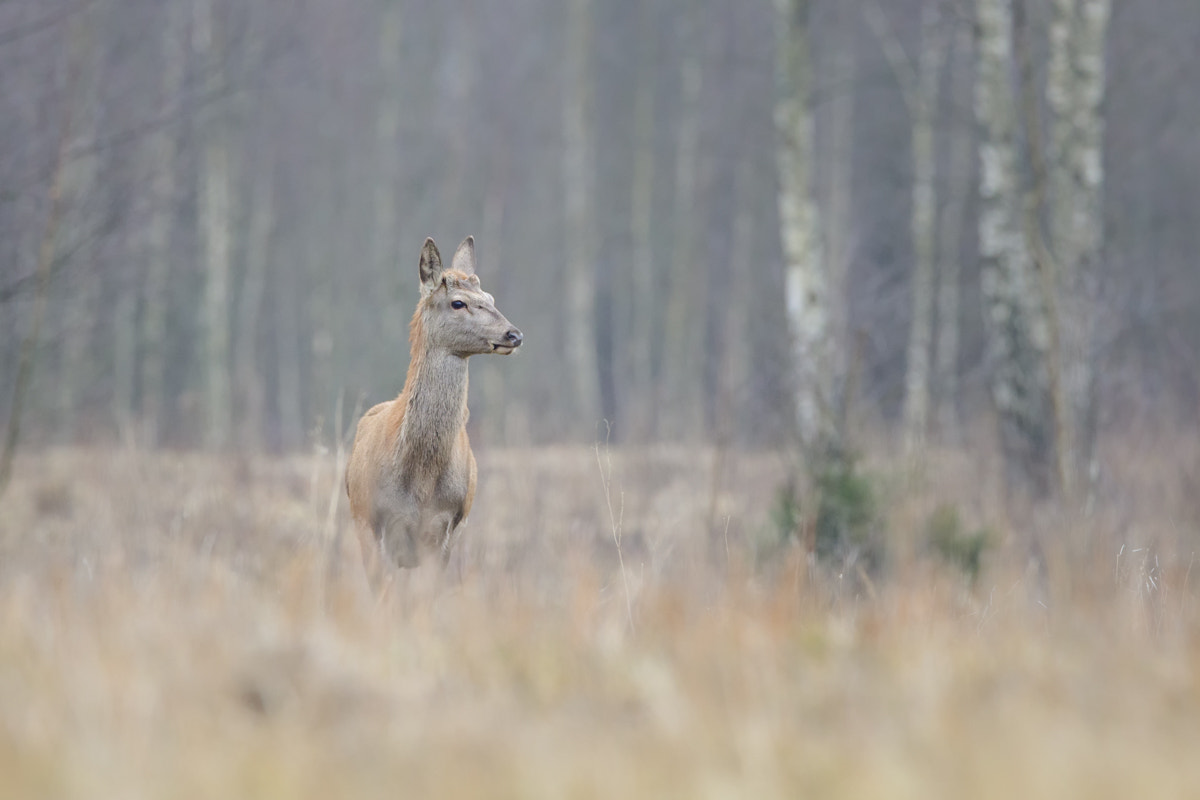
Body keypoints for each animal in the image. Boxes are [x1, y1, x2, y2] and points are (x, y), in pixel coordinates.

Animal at [343, 235, 520, 585]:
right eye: (458, 303)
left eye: (490, 297)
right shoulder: (376, 524)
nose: (514, 334)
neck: (421, 480)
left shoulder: (447, 529)